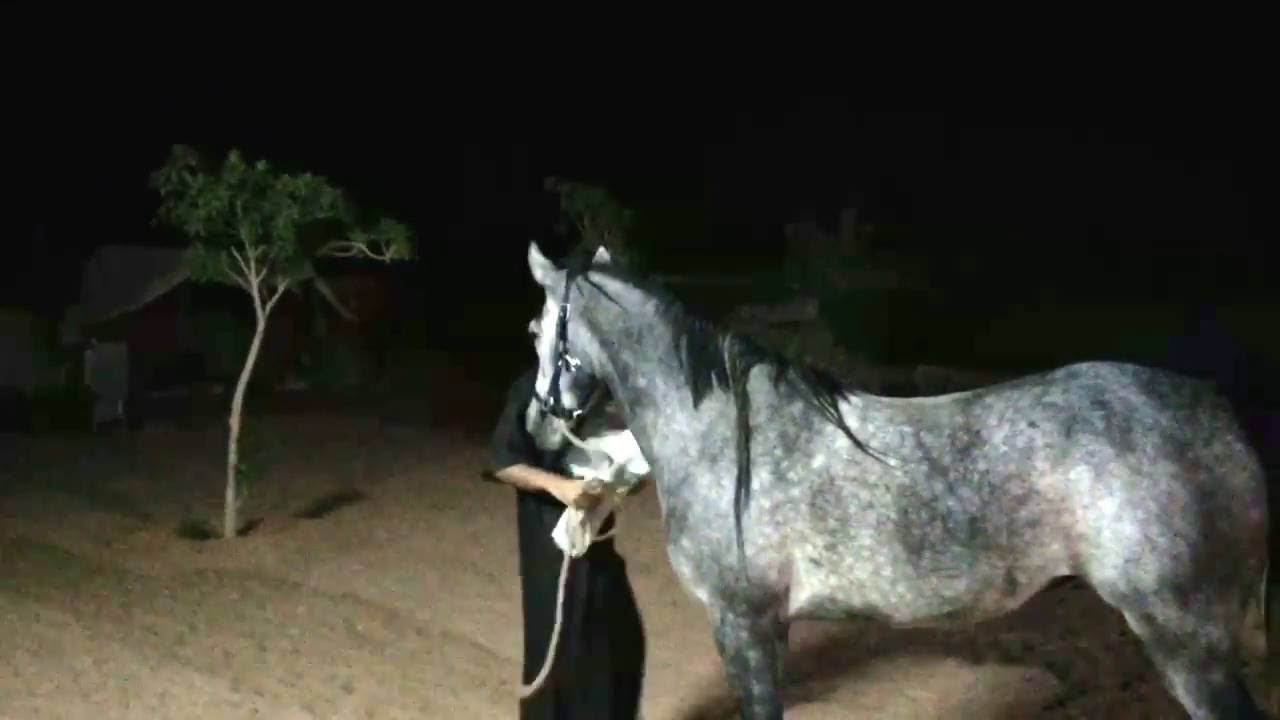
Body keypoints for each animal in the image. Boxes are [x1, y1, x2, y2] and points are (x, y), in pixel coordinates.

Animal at [521, 240, 1275, 719]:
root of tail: (1217, 415)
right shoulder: (769, 626)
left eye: (537, 328)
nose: (536, 426)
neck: (727, 439)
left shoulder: (742, 622)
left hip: (1186, 639)